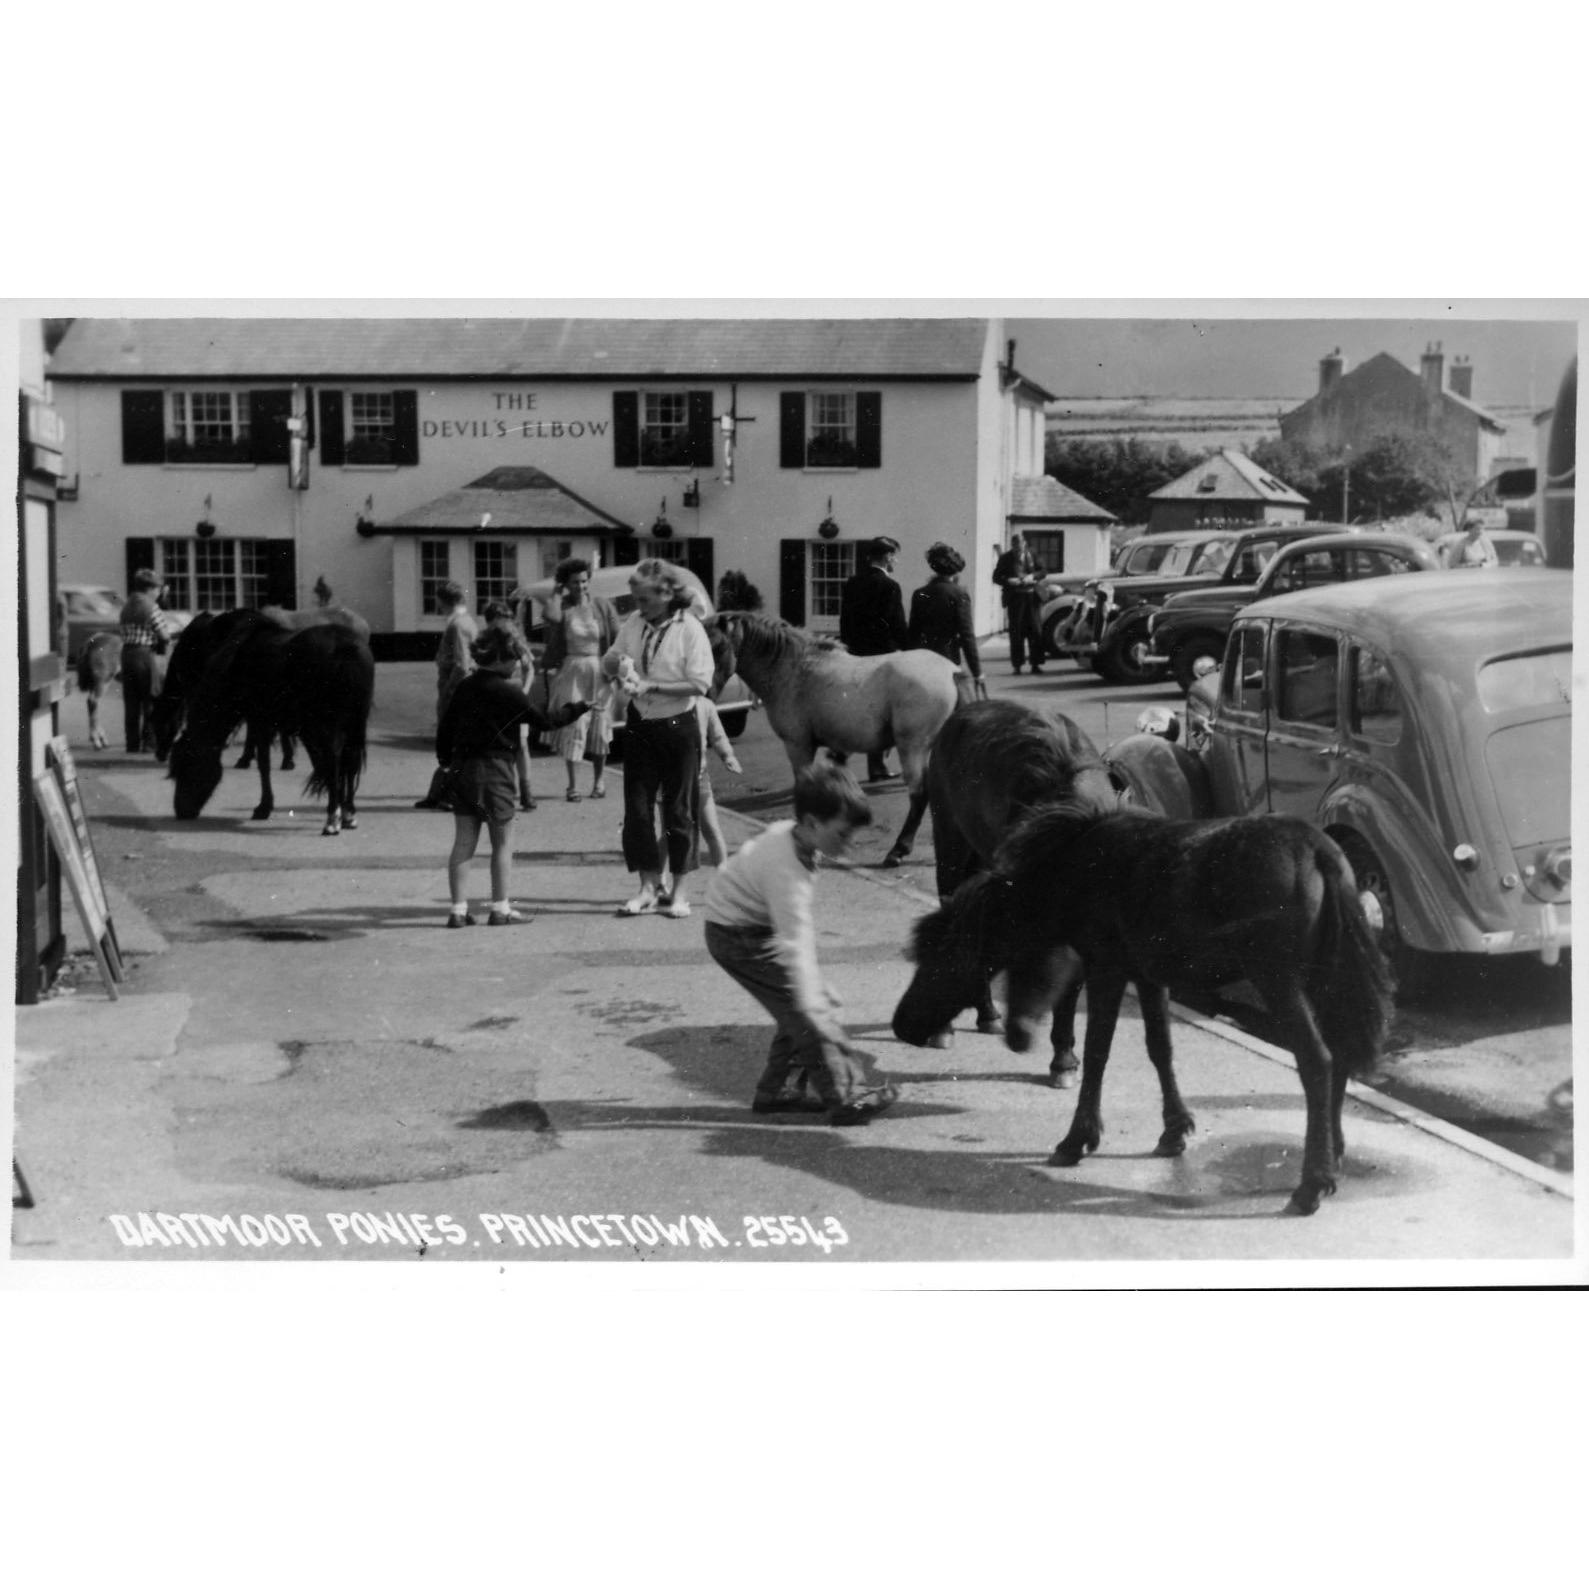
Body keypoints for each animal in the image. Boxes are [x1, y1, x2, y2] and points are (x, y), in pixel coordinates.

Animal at [170, 606, 375, 838]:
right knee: (348, 759)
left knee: (334, 759)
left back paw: (332, 818)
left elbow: (264, 764)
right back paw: (347, 812)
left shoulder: (260, 721)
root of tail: (346, 648)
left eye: (186, 766)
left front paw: (263, 806)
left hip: (328, 724)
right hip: (353, 722)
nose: (181, 811)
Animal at [718, 606, 953, 864]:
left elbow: (804, 785)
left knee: (919, 795)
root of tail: (952, 670)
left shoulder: (797, 745)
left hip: (912, 747)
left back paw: (899, 849)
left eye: (714, 644)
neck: (793, 669)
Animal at [902, 794, 1398, 1213]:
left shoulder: (1106, 968)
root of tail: (1319, 851)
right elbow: (1160, 1048)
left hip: (1280, 983)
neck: (1076, 866)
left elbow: (1097, 1052)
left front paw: (1078, 1138)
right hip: (1323, 981)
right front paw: (1174, 1131)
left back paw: (1312, 1183)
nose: (905, 1022)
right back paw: (1333, 1154)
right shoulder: (1149, 976)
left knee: (1318, 1060)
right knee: (1339, 1057)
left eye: (939, 955)